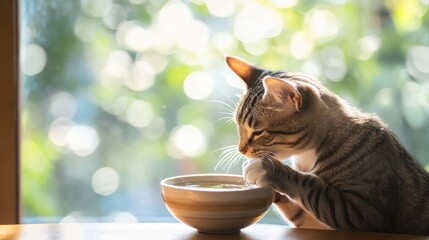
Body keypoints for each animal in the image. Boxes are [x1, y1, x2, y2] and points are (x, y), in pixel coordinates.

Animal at [224, 55, 428, 233]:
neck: (308, 155)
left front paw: (270, 170)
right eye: (238, 126)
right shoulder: (314, 223)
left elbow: (311, 186)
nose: (241, 150)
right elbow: (300, 213)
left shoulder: (363, 210)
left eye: (258, 132)